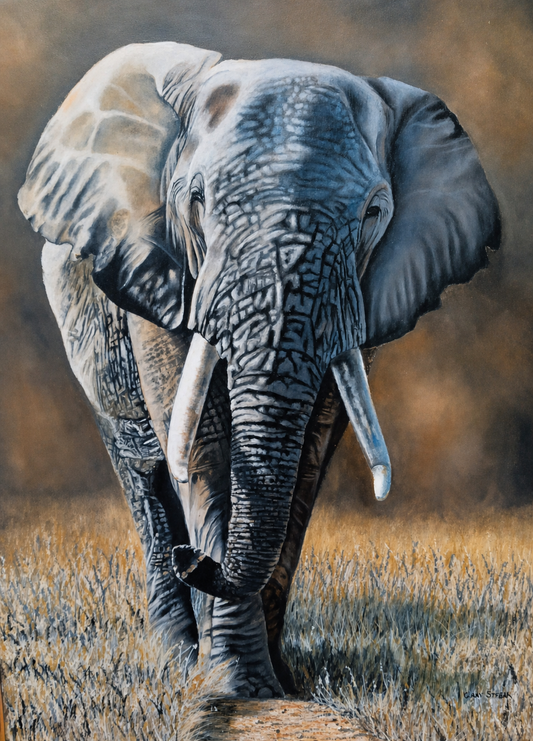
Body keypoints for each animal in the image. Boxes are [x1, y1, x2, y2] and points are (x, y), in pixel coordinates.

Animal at [18, 42, 500, 698]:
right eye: (196, 200)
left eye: (375, 212)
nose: (197, 561)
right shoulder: (157, 265)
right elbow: (200, 440)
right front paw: (232, 685)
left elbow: (310, 451)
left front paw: (278, 683)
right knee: (143, 470)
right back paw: (176, 653)